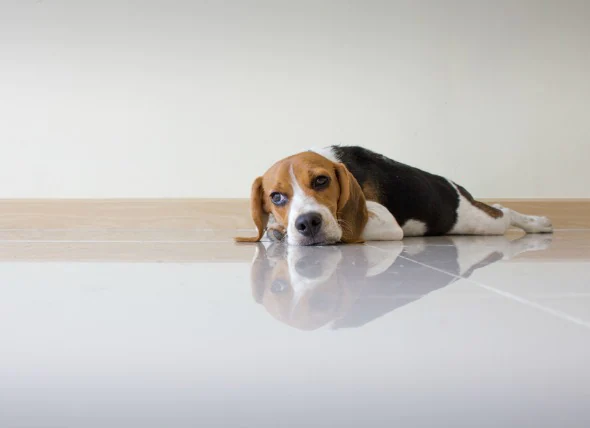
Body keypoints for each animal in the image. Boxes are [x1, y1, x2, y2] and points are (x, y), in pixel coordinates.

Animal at [237, 145, 556, 246]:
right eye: (277, 197)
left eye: (321, 180)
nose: (307, 224)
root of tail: (454, 186)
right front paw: (277, 230)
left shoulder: (385, 223)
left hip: (480, 223)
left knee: (504, 211)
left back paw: (538, 224)